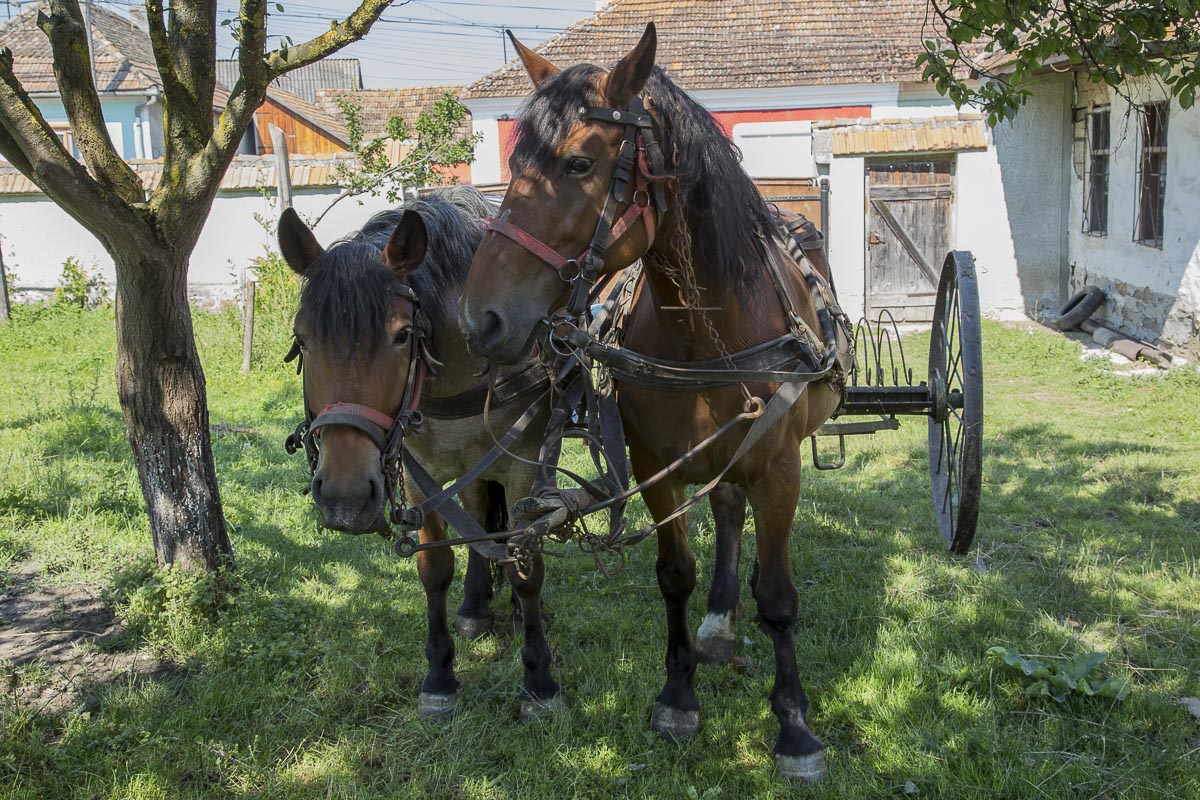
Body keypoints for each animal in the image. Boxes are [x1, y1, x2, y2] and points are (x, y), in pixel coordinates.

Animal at [277, 187, 561, 721]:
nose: (344, 498)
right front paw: (440, 677)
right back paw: (474, 607)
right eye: (302, 339)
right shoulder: (417, 474)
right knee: (477, 517)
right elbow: (435, 568)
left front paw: (539, 680)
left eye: (402, 335)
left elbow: (526, 567)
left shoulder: (522, 466)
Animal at [458, 26, 846, 782]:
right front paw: (677, 696)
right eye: (514, 161)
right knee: (724, 509)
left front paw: (795, 727)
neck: (707, 332)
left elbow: (778, 599)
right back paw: (718, 623)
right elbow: (674, 576)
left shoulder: (779, 468)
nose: (480, 318)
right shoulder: (654, 467)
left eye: (579, 162)